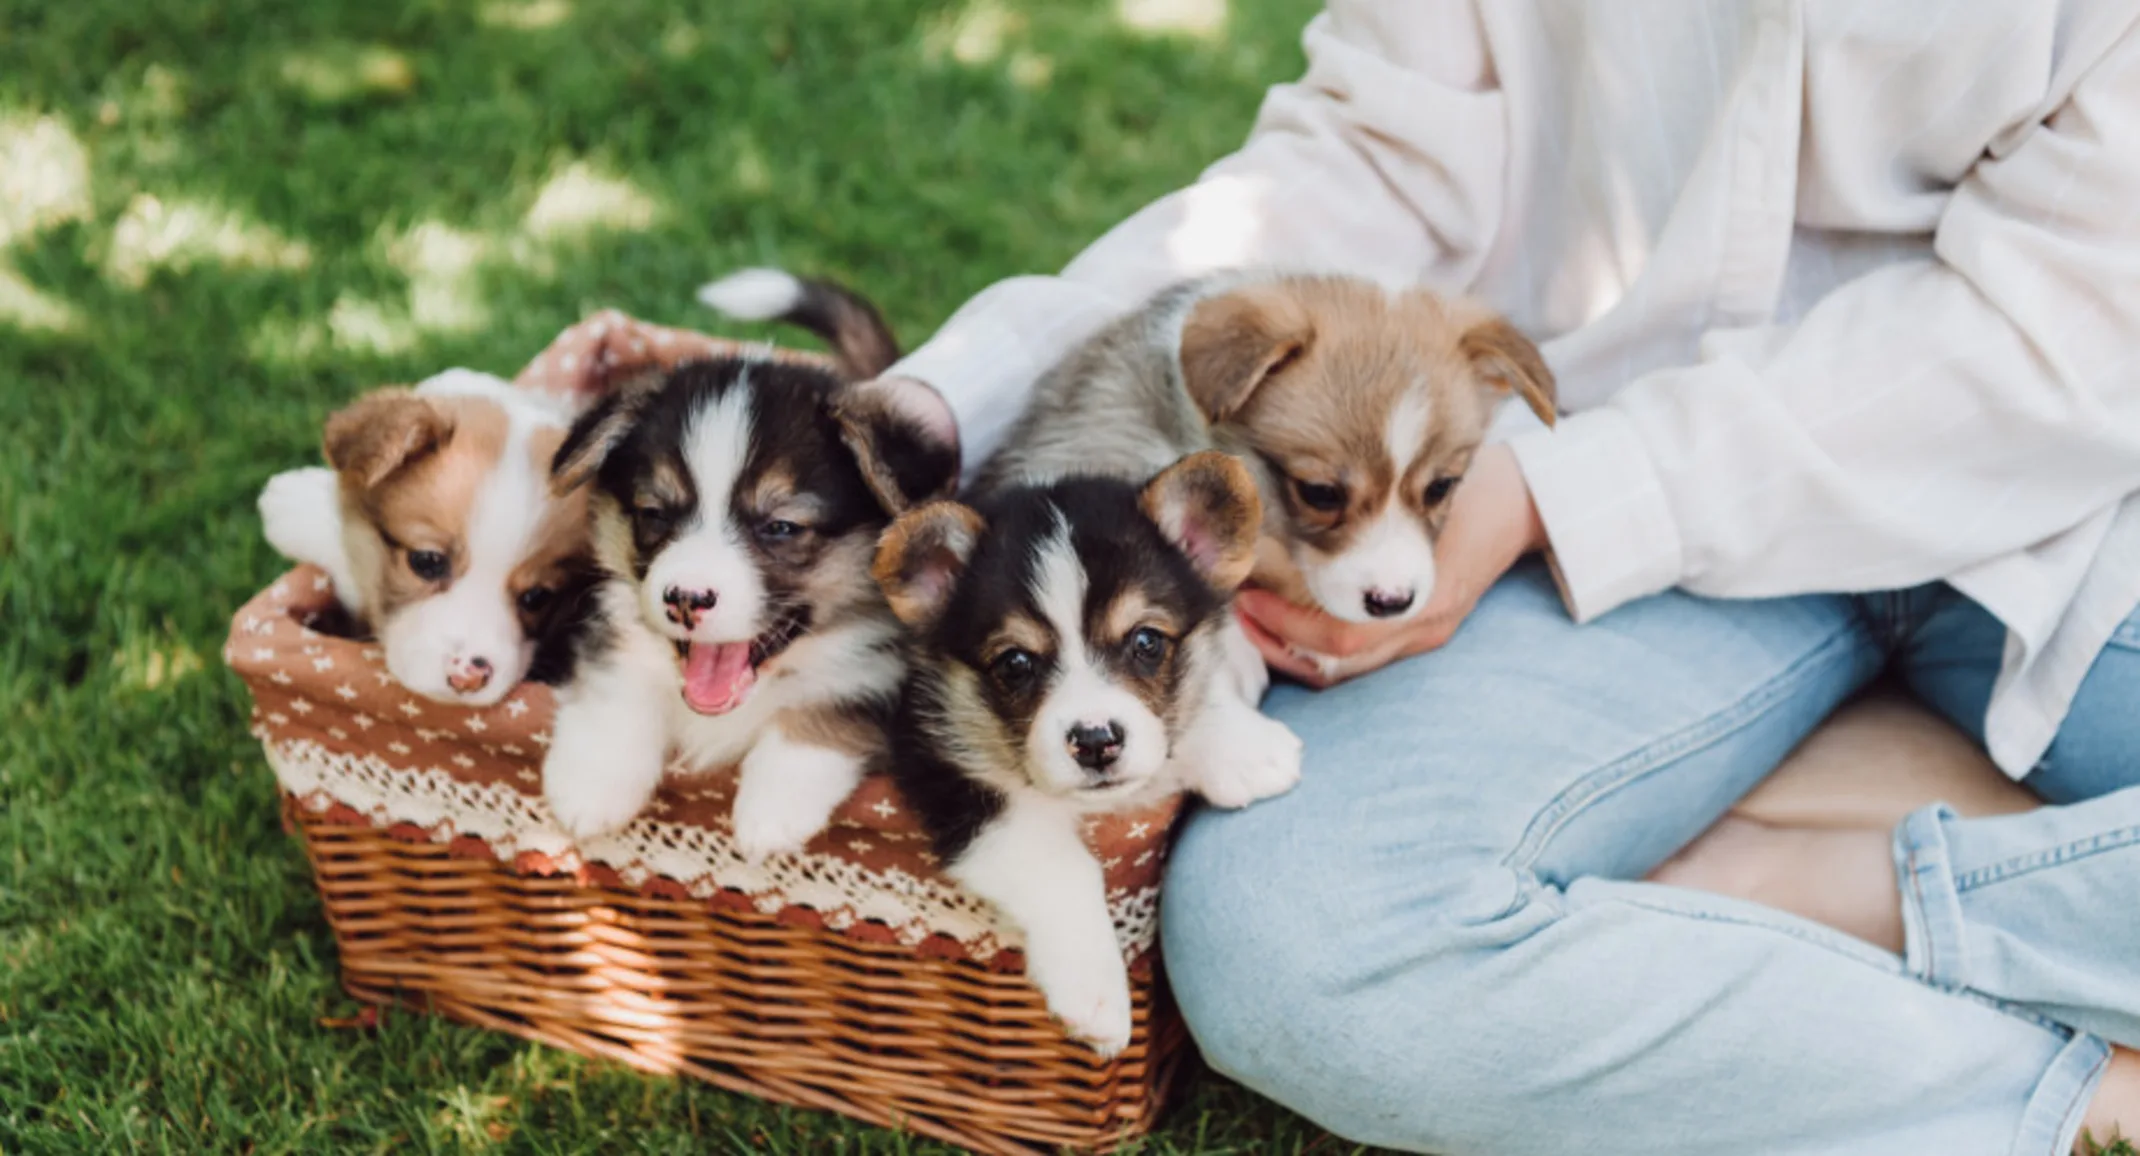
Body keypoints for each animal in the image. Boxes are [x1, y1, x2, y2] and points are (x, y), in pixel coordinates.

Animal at [539, 282, 958, 856]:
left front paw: (773, 810)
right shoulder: (613, 631)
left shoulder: (880, 674)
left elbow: (830, 706)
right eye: (654, 514)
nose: (686, 599)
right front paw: (592, 784)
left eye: (780, 526)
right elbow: (616, 685)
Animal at [868, 453, 1266, 1057]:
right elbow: (1064, 868)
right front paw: (1095, 993)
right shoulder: (946, 769)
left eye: (1147, 642)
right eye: (1015, 663)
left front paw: (1245, 747)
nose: (1096, 741)